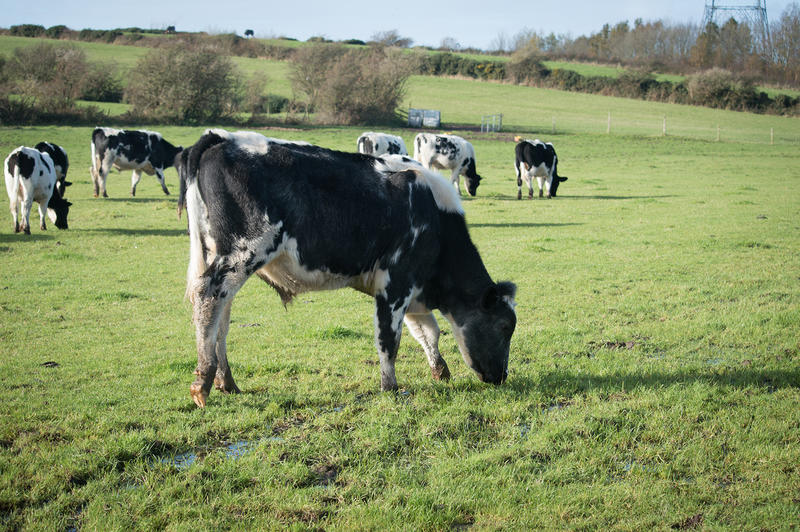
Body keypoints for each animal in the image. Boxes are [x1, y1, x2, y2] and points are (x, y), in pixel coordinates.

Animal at [175, 129, 516, 408]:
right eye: (504, 326)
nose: (500, 377)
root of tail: (220, 138)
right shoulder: (395, 284)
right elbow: (389, 339)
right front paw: (390, 387)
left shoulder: (411, 288)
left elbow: (427, 332)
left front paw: (440, 370)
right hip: (242, 254)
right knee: (208, 297)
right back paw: (203, 382)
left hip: (223, 258)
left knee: (221, 316)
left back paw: (227, 381)